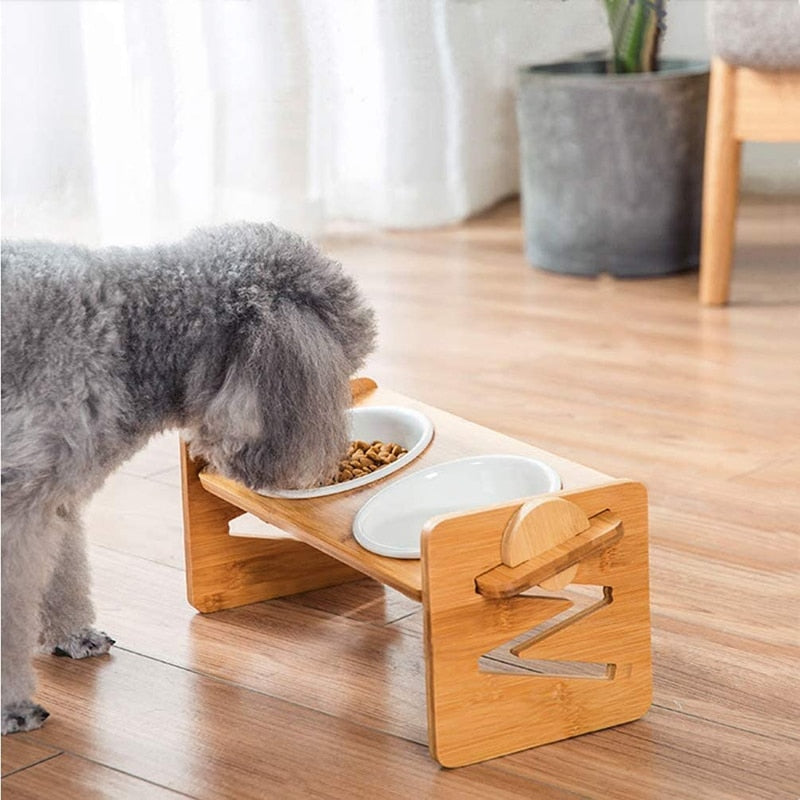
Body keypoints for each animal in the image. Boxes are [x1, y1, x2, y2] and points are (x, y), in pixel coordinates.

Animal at [1, 222, 376, 736]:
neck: (131, 339)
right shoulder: (15, 510)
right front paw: (12, 706)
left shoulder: (49, 504)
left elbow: (64, 573)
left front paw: (71, 635)